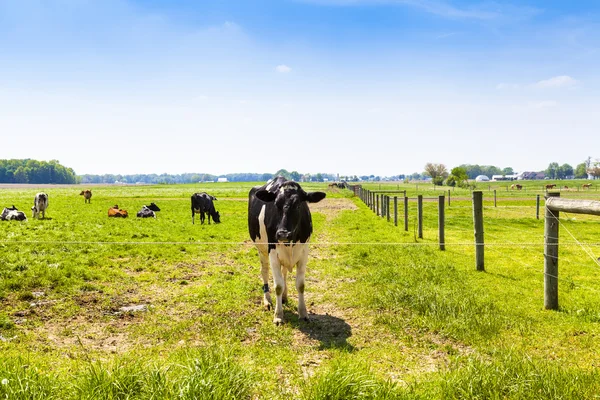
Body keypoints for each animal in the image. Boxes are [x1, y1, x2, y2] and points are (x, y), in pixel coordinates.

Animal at [247, 177, 326, 324]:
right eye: (276, 204)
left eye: (298, 205)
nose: (283, 234)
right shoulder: (272, 253)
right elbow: (278, 286)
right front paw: (278, 316)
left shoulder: (304, 253)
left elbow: (300, 285)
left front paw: (303, 313)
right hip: (261, 250)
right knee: (264, 271)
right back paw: (267, 300)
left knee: (284, 273)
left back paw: (284, 297)